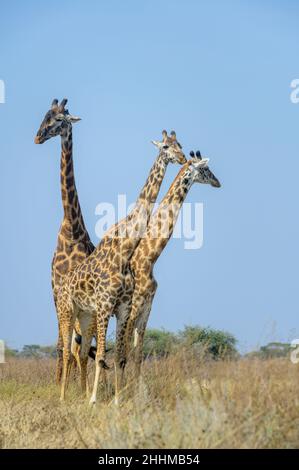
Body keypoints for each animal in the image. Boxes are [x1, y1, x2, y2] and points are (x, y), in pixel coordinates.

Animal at [57, 130, 186, 402]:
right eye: (166, 147)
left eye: (180, 145)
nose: (181, 158)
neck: (126, 251)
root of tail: (63, 285)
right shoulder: (106, 306)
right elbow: (103, 356)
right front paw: (95, 400)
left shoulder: (124, 308)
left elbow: (118, 356)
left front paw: (116, 399)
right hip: (67, 310)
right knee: (66, 350)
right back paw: (63, 397)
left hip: (85, 314)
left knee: (80, 351)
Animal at [122, 151, 223, 378]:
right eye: (205, 169)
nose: (218, 182)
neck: (147, 261)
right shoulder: (133, 307)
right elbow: (124, 351)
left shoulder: (147, 307)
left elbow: (137, 354)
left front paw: (135, 386)